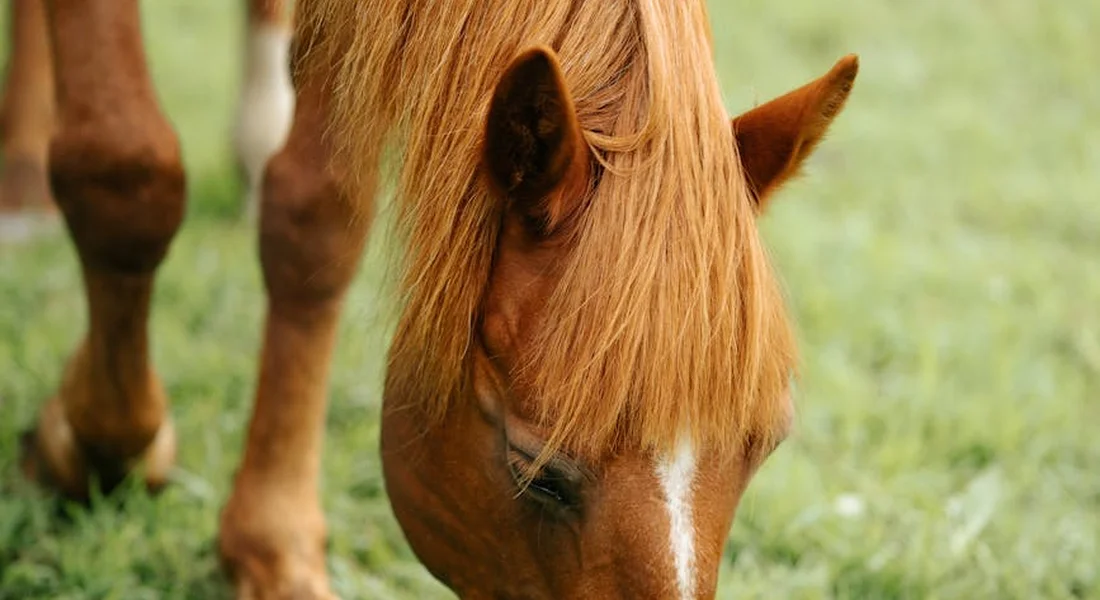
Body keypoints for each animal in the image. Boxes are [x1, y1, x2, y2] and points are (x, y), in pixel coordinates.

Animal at [1, 0, 858, 597]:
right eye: (538, 473)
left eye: (763, 450)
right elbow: (123, 175)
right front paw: (89, 444)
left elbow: (317, 219)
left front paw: (274, 544)